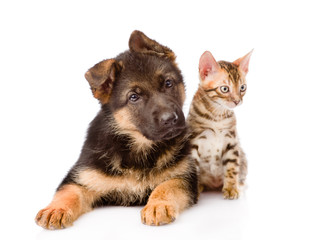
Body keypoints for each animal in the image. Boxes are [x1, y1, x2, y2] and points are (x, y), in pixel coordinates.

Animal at [35, 30, 197, 229]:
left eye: (168, 83)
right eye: (134, 97)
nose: (171, 119)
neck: (138, 148)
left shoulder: (185, 177)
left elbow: (167, 186)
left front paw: (158, 205)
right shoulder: (83, 178)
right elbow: (69, 191)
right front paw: (56, 209)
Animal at [186, 50, 253, 199]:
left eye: (242, 87)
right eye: (224, 89)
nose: (237, 101)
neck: (217, 116)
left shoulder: (231, 142)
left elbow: (232, 167)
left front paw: (231, 188)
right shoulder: (194, 142)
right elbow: (193, 168)